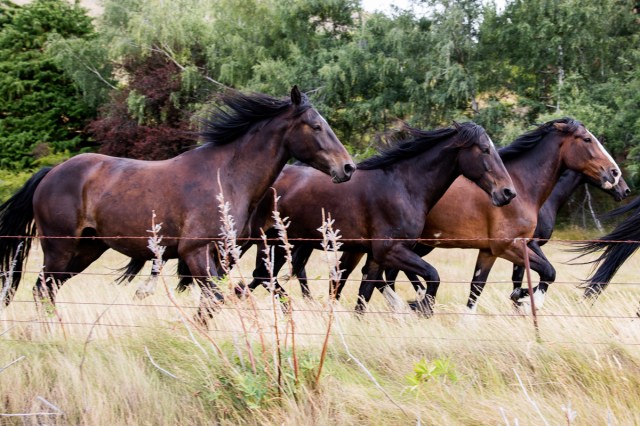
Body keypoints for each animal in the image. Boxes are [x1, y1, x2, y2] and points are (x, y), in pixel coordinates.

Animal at [0, 86, 356, 321]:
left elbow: (222, 298)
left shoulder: (221, 254)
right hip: (59, 248)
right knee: (42, 289)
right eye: (316, 126)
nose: (348, 168)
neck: (226, 176)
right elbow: (215, 299)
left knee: (46, 290)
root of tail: (50, 173)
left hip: (86, 250)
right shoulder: (195, 251)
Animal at [243, 122, 516, 305]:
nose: (507, 192)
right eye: (484, 149)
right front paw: (420, 307)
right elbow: (433, 276)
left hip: (279, 242)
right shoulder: (390, 250)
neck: (403, 186)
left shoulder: (375, 257)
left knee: (263, 275)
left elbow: (363, 298)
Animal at [292, 118, 623, 315]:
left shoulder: (492, 250)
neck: (522, 186)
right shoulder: (512, 246)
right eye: (587, 140)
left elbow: (478, 287)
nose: (618, 177)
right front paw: (527, 301)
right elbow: (546, 273)